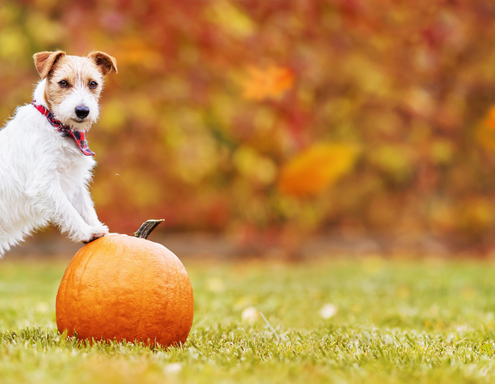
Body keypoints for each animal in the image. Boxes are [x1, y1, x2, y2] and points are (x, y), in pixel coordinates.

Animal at [0, 49, 118, 256]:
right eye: (63, 83)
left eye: (93, 83)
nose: (82, 111)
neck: (58, 127)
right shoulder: (44, 183)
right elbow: (67, 210)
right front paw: (87, 232)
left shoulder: (74, 182)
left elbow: (86, 208)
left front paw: (99, 229)